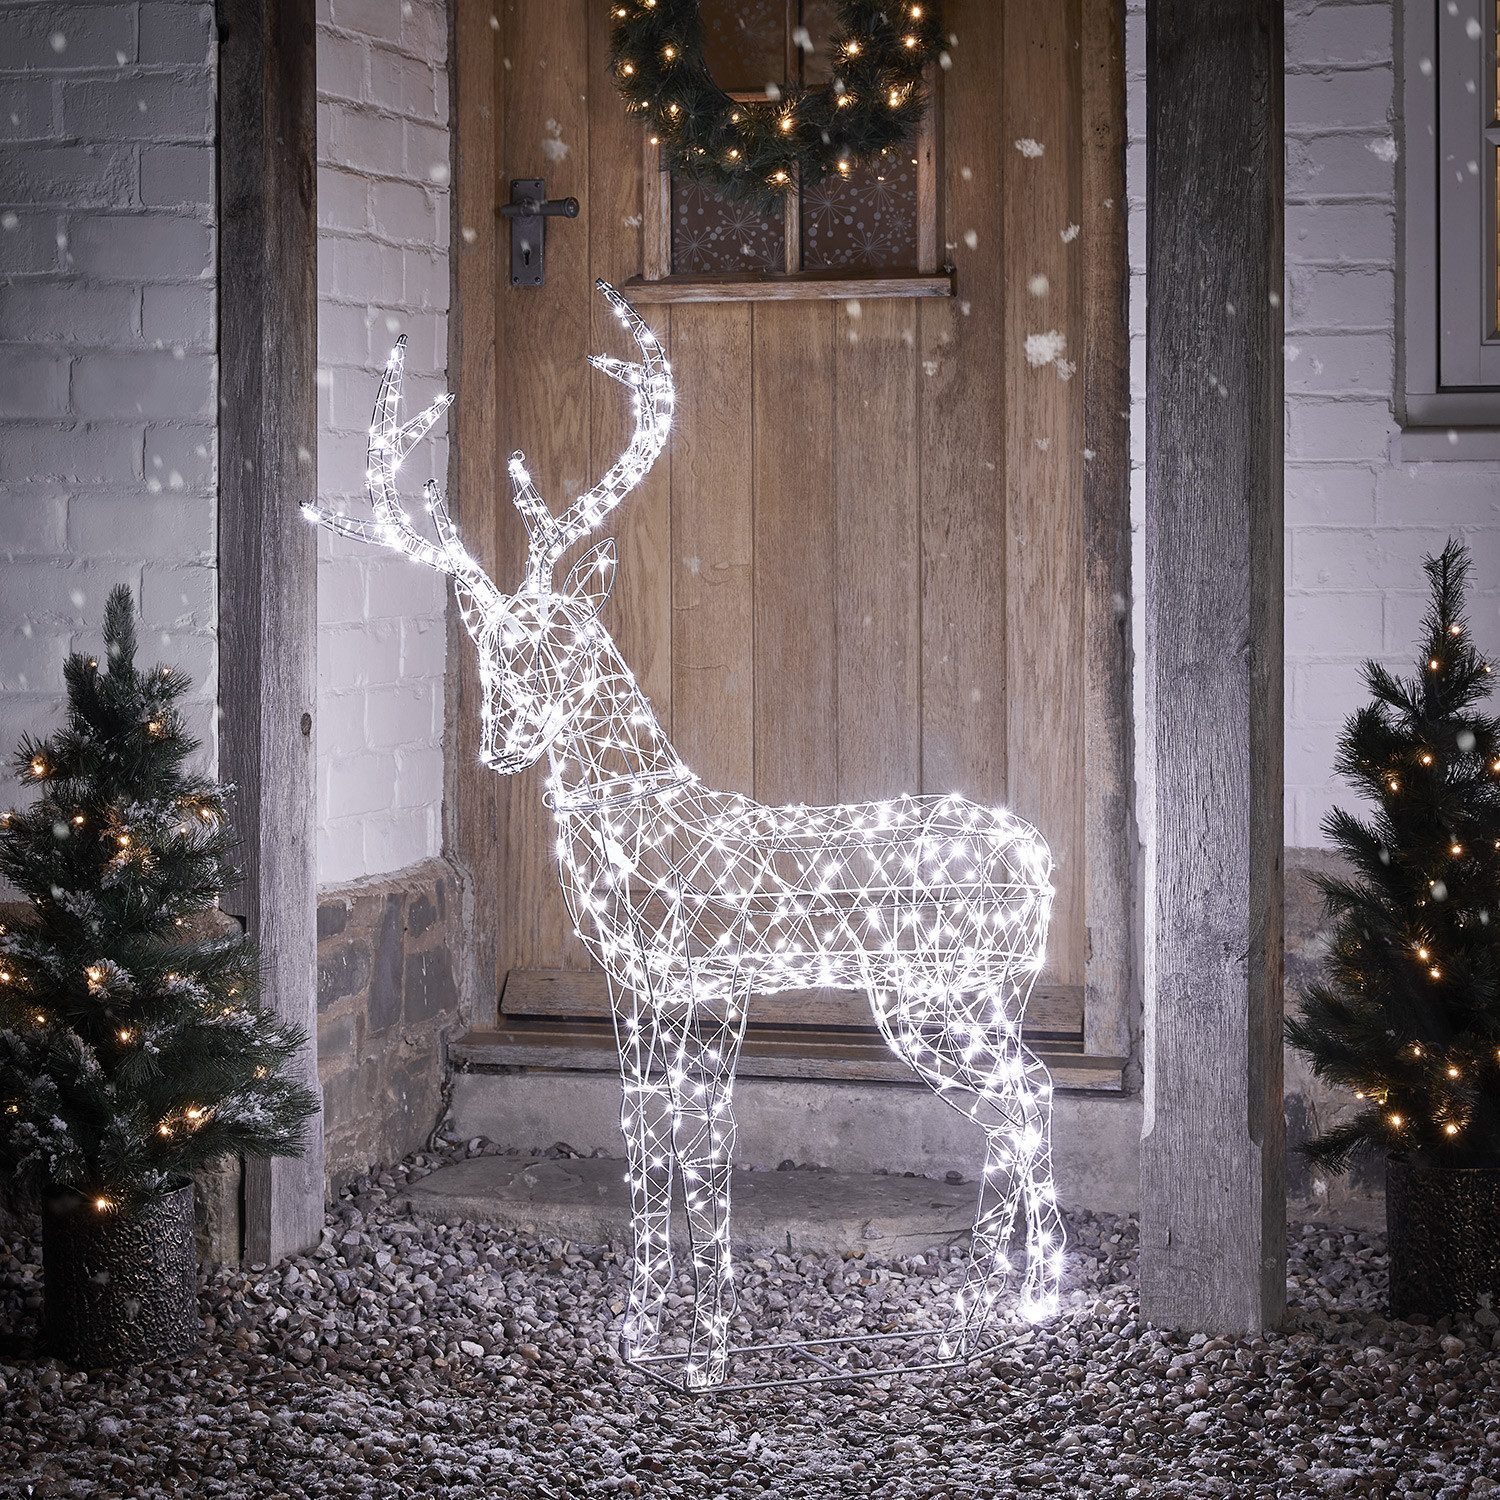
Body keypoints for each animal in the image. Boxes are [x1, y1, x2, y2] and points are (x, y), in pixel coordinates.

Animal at [306, 281, 1063, 1389]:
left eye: (565, 641)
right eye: (491, 649)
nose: (500, 740)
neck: (643, 822)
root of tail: (1045, 861)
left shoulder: (697, 981)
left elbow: (692, 1148)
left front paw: (691, 1341)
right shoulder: (641, 990)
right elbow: (650, 1137)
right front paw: (650, 1323)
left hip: (942, 992)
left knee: (1029, 1097)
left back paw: (1011, 1307)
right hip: (955, 997)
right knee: (1022, 1102)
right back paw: (1005, 1304)